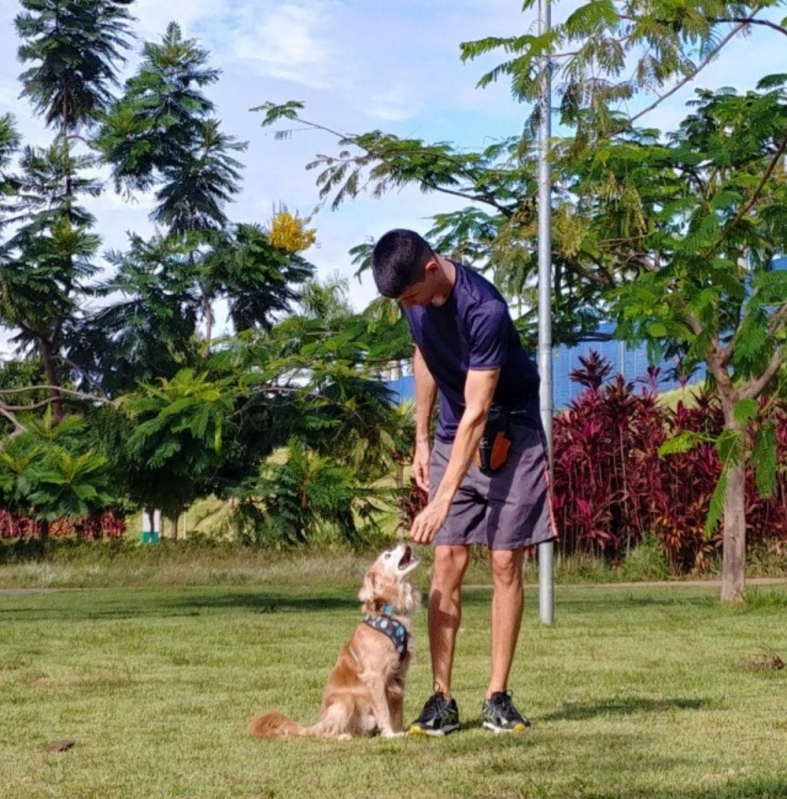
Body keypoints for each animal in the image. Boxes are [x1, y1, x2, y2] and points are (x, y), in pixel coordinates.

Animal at [249, 540, 422, 740]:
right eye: (387, 555)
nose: (404, 543)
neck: (389, 614)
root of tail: (320, 723)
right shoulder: (376, 677)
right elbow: (384, 709)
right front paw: (390, 734)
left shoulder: (399, 675)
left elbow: (398, 710)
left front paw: (399, 730)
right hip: (345, 701)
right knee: (327, 734)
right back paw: (342, 736)